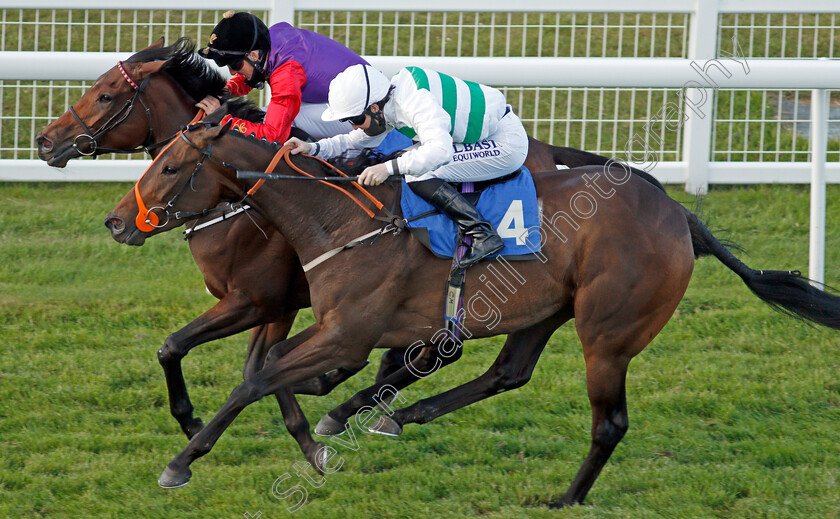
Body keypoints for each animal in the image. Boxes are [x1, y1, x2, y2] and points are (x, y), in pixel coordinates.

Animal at [37, 38, 676, 456]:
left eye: (106, 94)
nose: (44, 141)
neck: (241, 208)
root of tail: (543, 150)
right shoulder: (282, 306)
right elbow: (242, 362)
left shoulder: (261, 300)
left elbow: (187, 350)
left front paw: (201, 424)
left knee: (437, 352)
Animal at [105, 120, 840, 506]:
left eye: (169, 166)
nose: (116, 221)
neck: (340, 220)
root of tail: (680, 215)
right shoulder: (322, 322)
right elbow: (276, 369)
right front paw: (323, 430)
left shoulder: (343, 332)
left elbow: (258, 377)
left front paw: (183, 460)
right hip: (547, 309)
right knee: (508, 372)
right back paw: (398, 414)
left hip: (608, 333)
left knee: (609, 422)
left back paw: (566, 498)